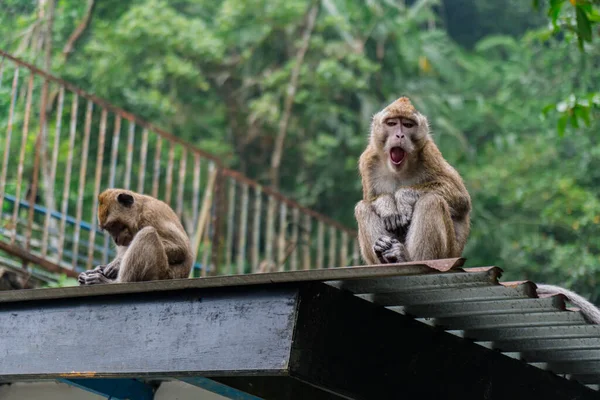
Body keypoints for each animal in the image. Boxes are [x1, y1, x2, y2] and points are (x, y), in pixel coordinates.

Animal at [354, 97, 472, 264]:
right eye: (392, 123)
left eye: (408, 125)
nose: (400, 136)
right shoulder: (368, 160)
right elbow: (370, 199)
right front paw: (387, 205)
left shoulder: (430, 154)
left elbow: (461, 199)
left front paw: (402, 198)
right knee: (363, 208)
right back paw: (385, 253)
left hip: (449, 252)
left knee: (430, 201)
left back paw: (406, 257)